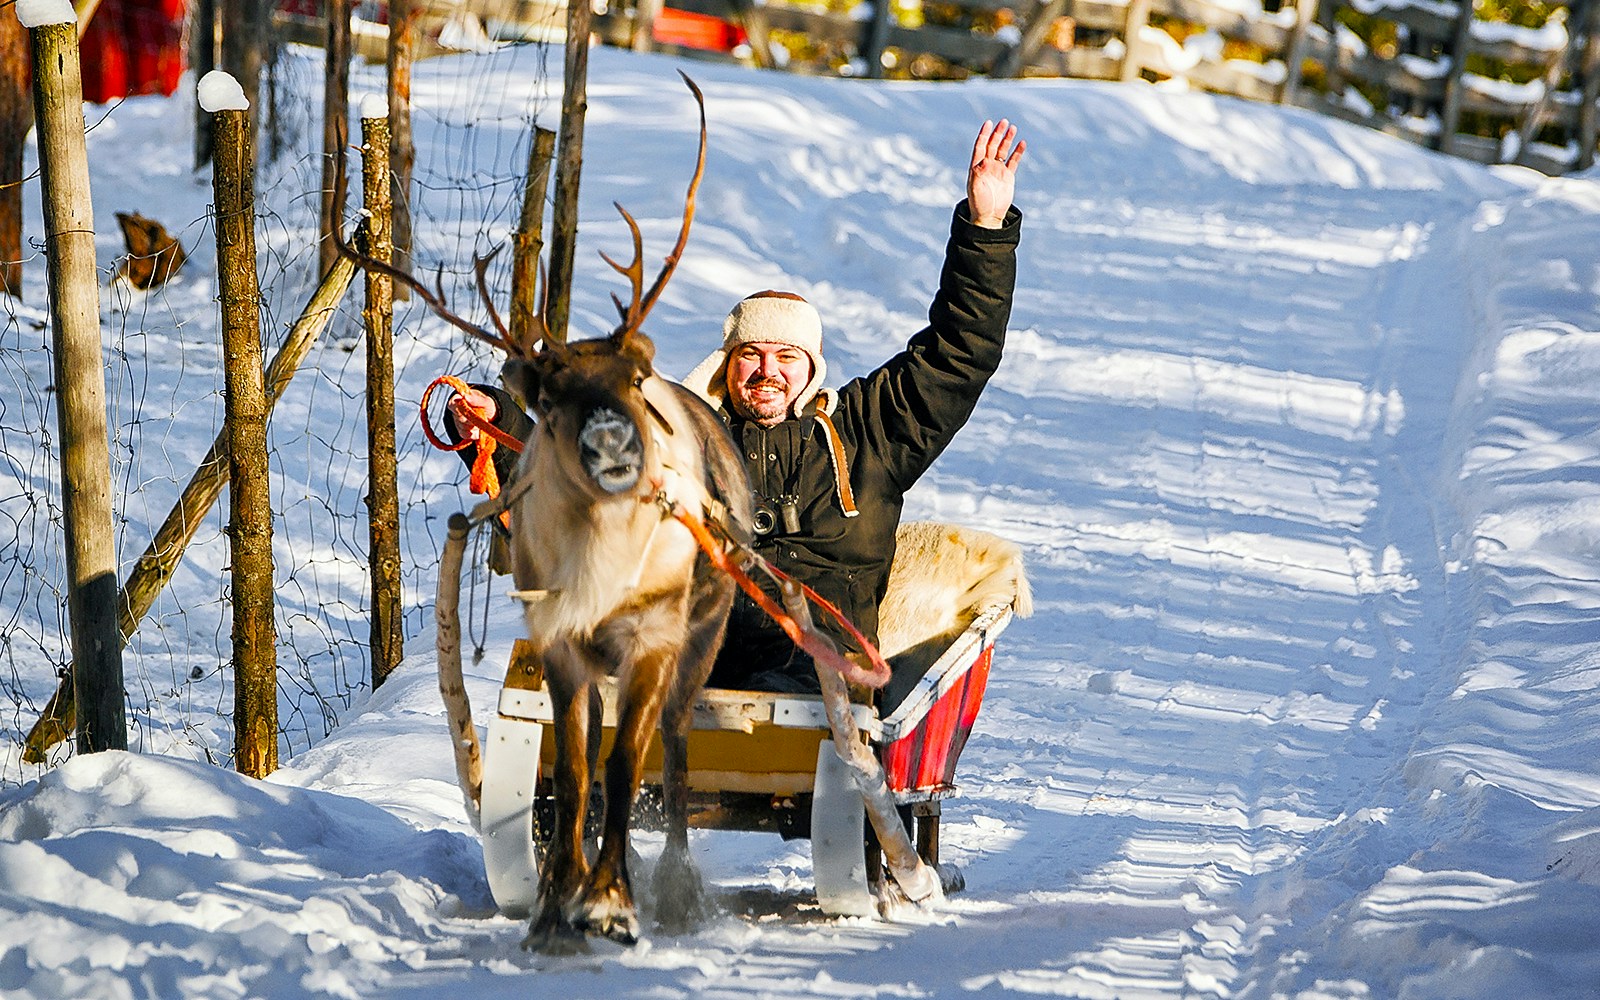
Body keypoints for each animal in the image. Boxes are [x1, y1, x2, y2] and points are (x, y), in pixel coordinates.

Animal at [334, 73, 755, 952]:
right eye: (551, 397)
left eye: (634, 381)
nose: (614, 446)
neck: (598, 566)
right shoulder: (557, 640)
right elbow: (578, 765)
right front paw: (559, 902)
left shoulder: (652, 639)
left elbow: (626, 766)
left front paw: (613, 902)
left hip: (703, 635)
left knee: (674, 748)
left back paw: (675, 885)